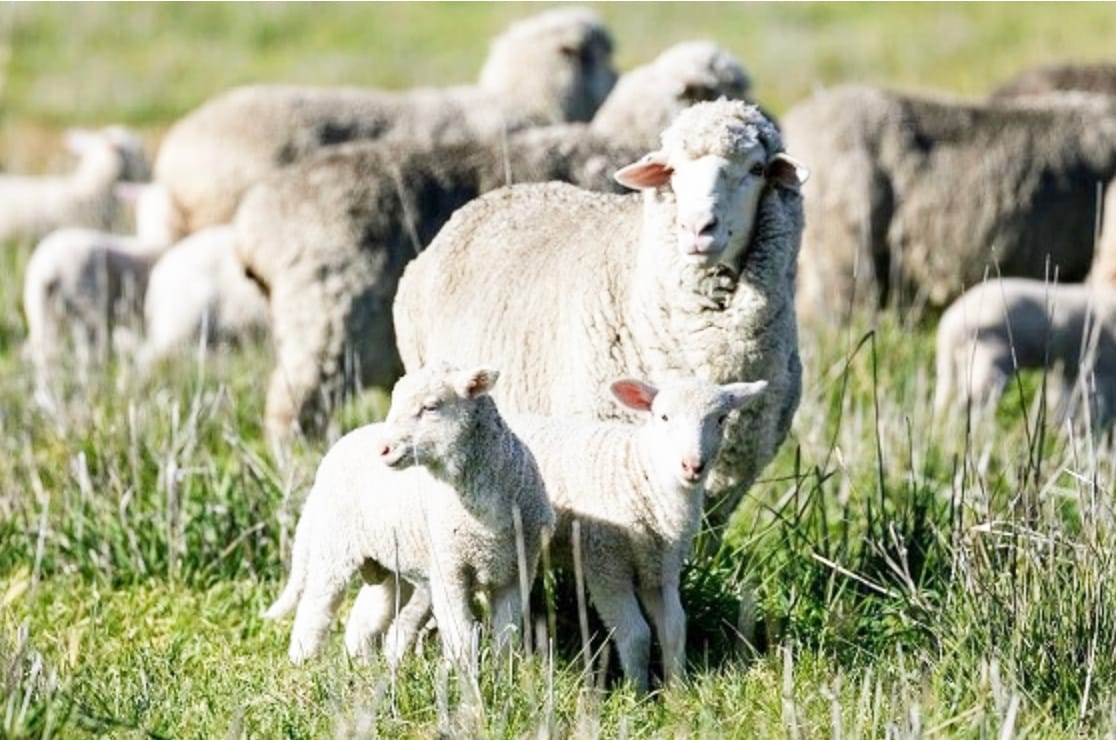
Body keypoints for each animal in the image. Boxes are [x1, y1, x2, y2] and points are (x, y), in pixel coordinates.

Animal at [263, 362, 553, 666]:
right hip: (333, 545)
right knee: (316, 604)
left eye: (430, 407)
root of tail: (344, 441)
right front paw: (464, 672)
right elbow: (460, 632)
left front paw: (504, 670)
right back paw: (302, 660)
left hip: (389, 562)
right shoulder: (449, 567)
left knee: (368, 613)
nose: (383, 449)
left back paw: (362, 663)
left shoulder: (517, 570)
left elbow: (507, 634)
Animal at [504, 376, 768, 691]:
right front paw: (638, 693)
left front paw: (678, 690)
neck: (640, 471)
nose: (693, 466)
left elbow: (674, 629)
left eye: (721, 418)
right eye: (664, 416)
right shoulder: (606, 566)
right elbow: (636, 635)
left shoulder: (660, 570)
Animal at [933, 278, 1116, 428]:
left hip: (957, 362)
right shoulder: (1102, 365)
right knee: (974, 396)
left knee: (950, 399)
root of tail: (947, 325)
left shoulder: (1071, 370)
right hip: (989, 352)